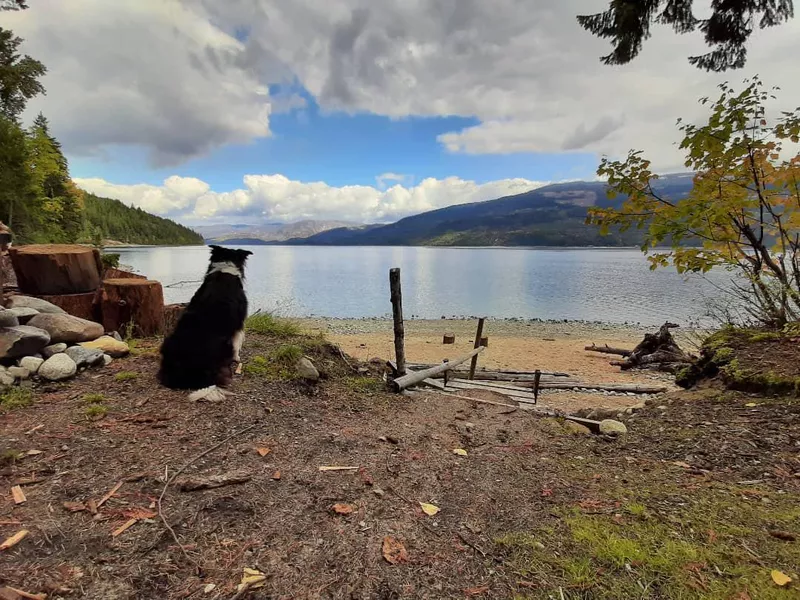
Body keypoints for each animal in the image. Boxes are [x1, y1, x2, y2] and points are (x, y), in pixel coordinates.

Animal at [158, 244, 252, 404]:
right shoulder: (239, 323)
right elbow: (237, 343)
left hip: (167, 342)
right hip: (223, 347)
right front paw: (237, 358)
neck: (225, 269)